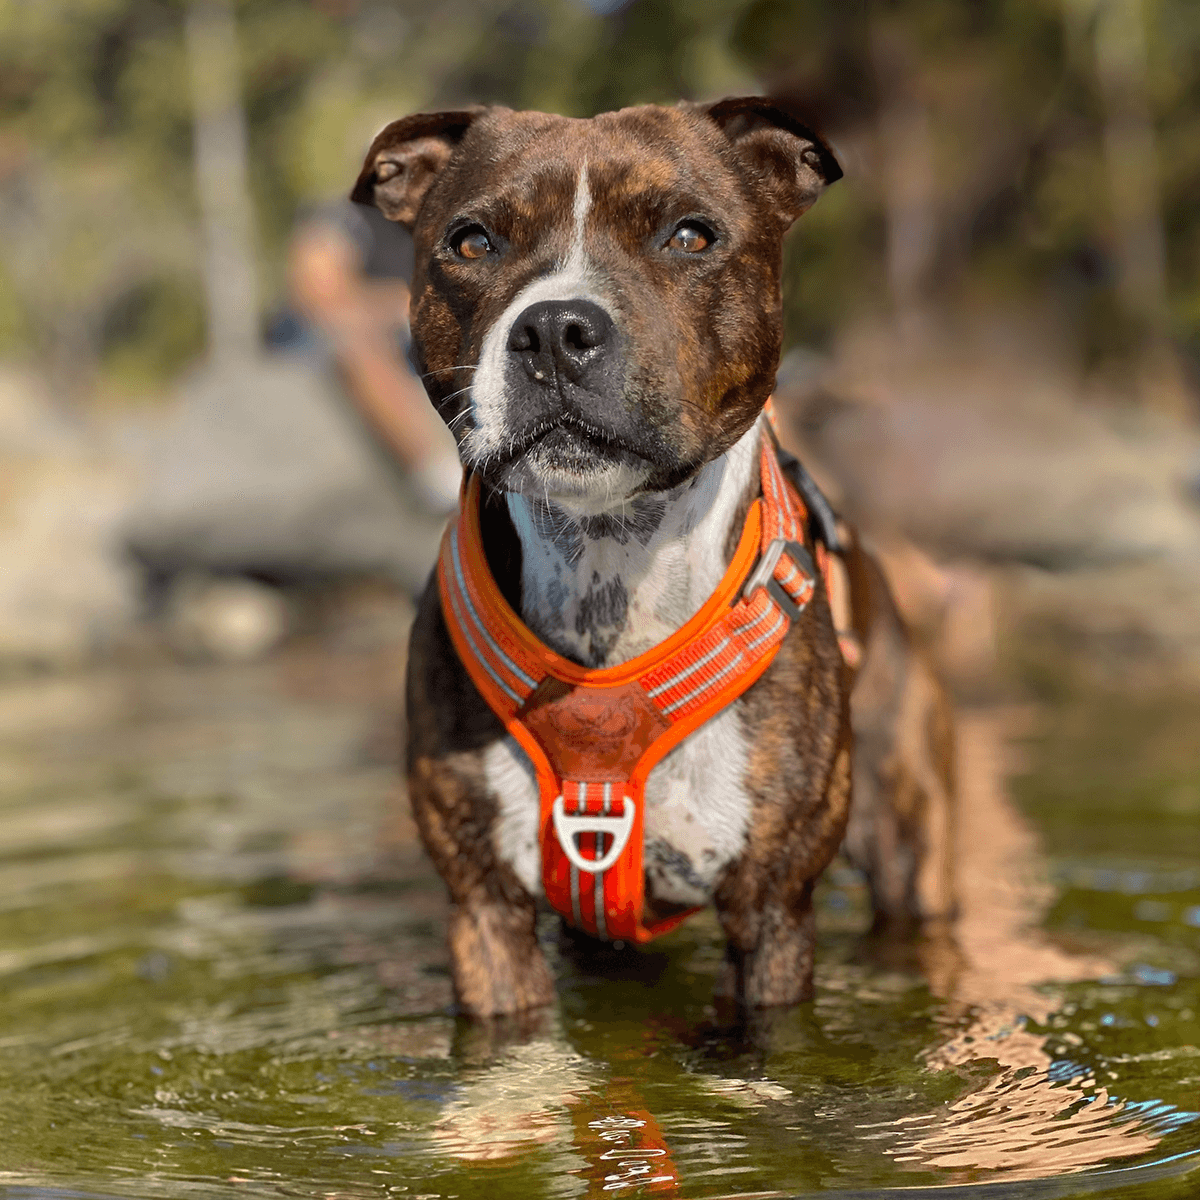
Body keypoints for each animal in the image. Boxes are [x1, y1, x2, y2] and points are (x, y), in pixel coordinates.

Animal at [350, 98, 955, 1017]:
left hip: (908, 842)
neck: (608, 562)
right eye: (472, 242)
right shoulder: (484, 910)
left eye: (689, 236)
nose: (554, 329)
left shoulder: (772, 913)